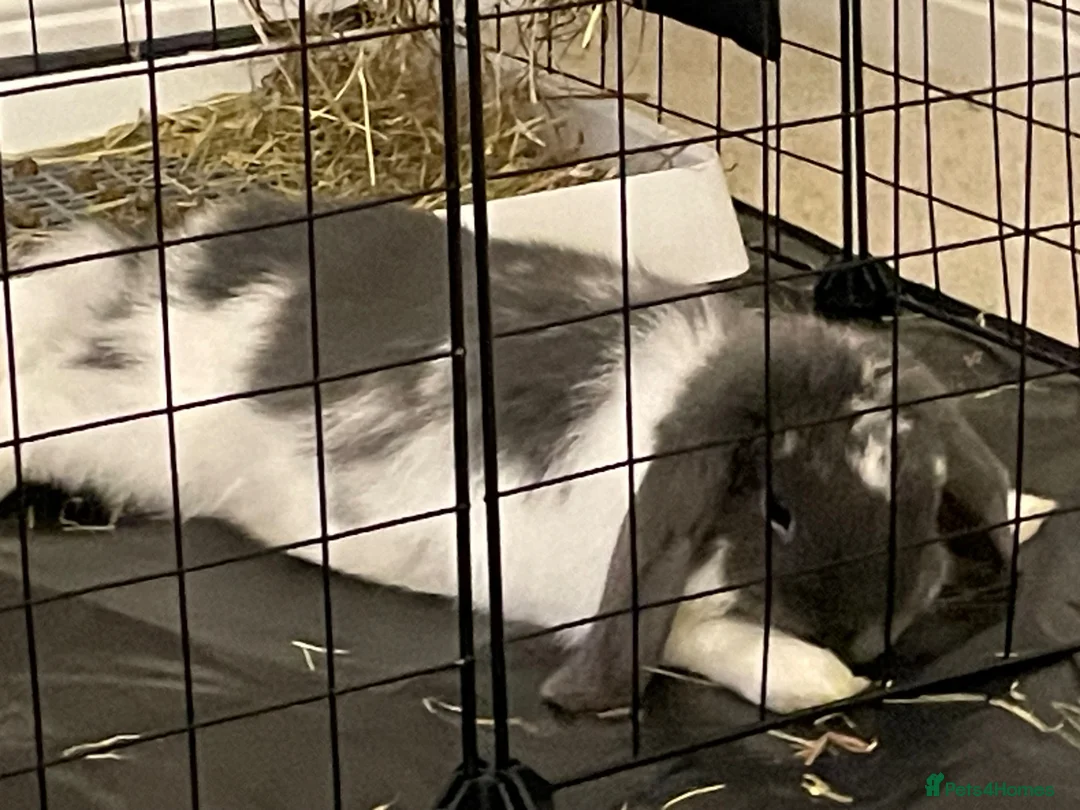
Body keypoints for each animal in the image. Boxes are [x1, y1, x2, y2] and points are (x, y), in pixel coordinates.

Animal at [0, 189, 1037, 716]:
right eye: (776, 511)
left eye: (928, 490)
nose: (868, 634)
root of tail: (166, 268)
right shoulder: (610, 599)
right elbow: (699, 637)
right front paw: (815, 679)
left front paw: (1029, 510)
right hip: (125, 427)